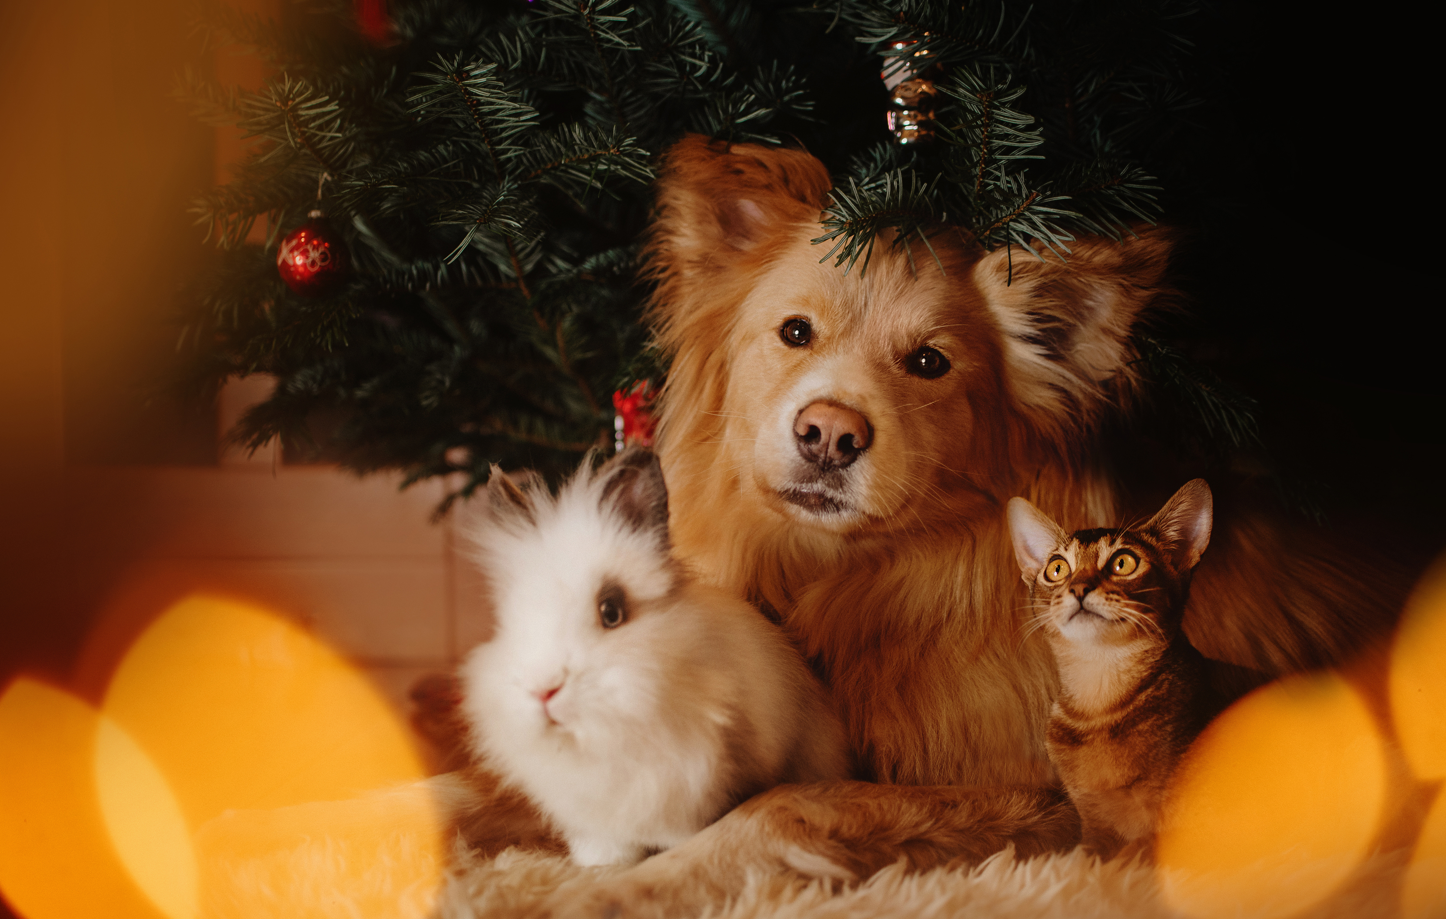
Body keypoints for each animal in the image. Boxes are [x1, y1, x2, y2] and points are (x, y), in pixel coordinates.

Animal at [1006, 476, 1266, 855]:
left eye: (1123, 563)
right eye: (1057, 569)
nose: (1078, 588)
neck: (1098, 706)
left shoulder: (1181, 827)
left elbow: (1135, 852)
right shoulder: (1093, 825)